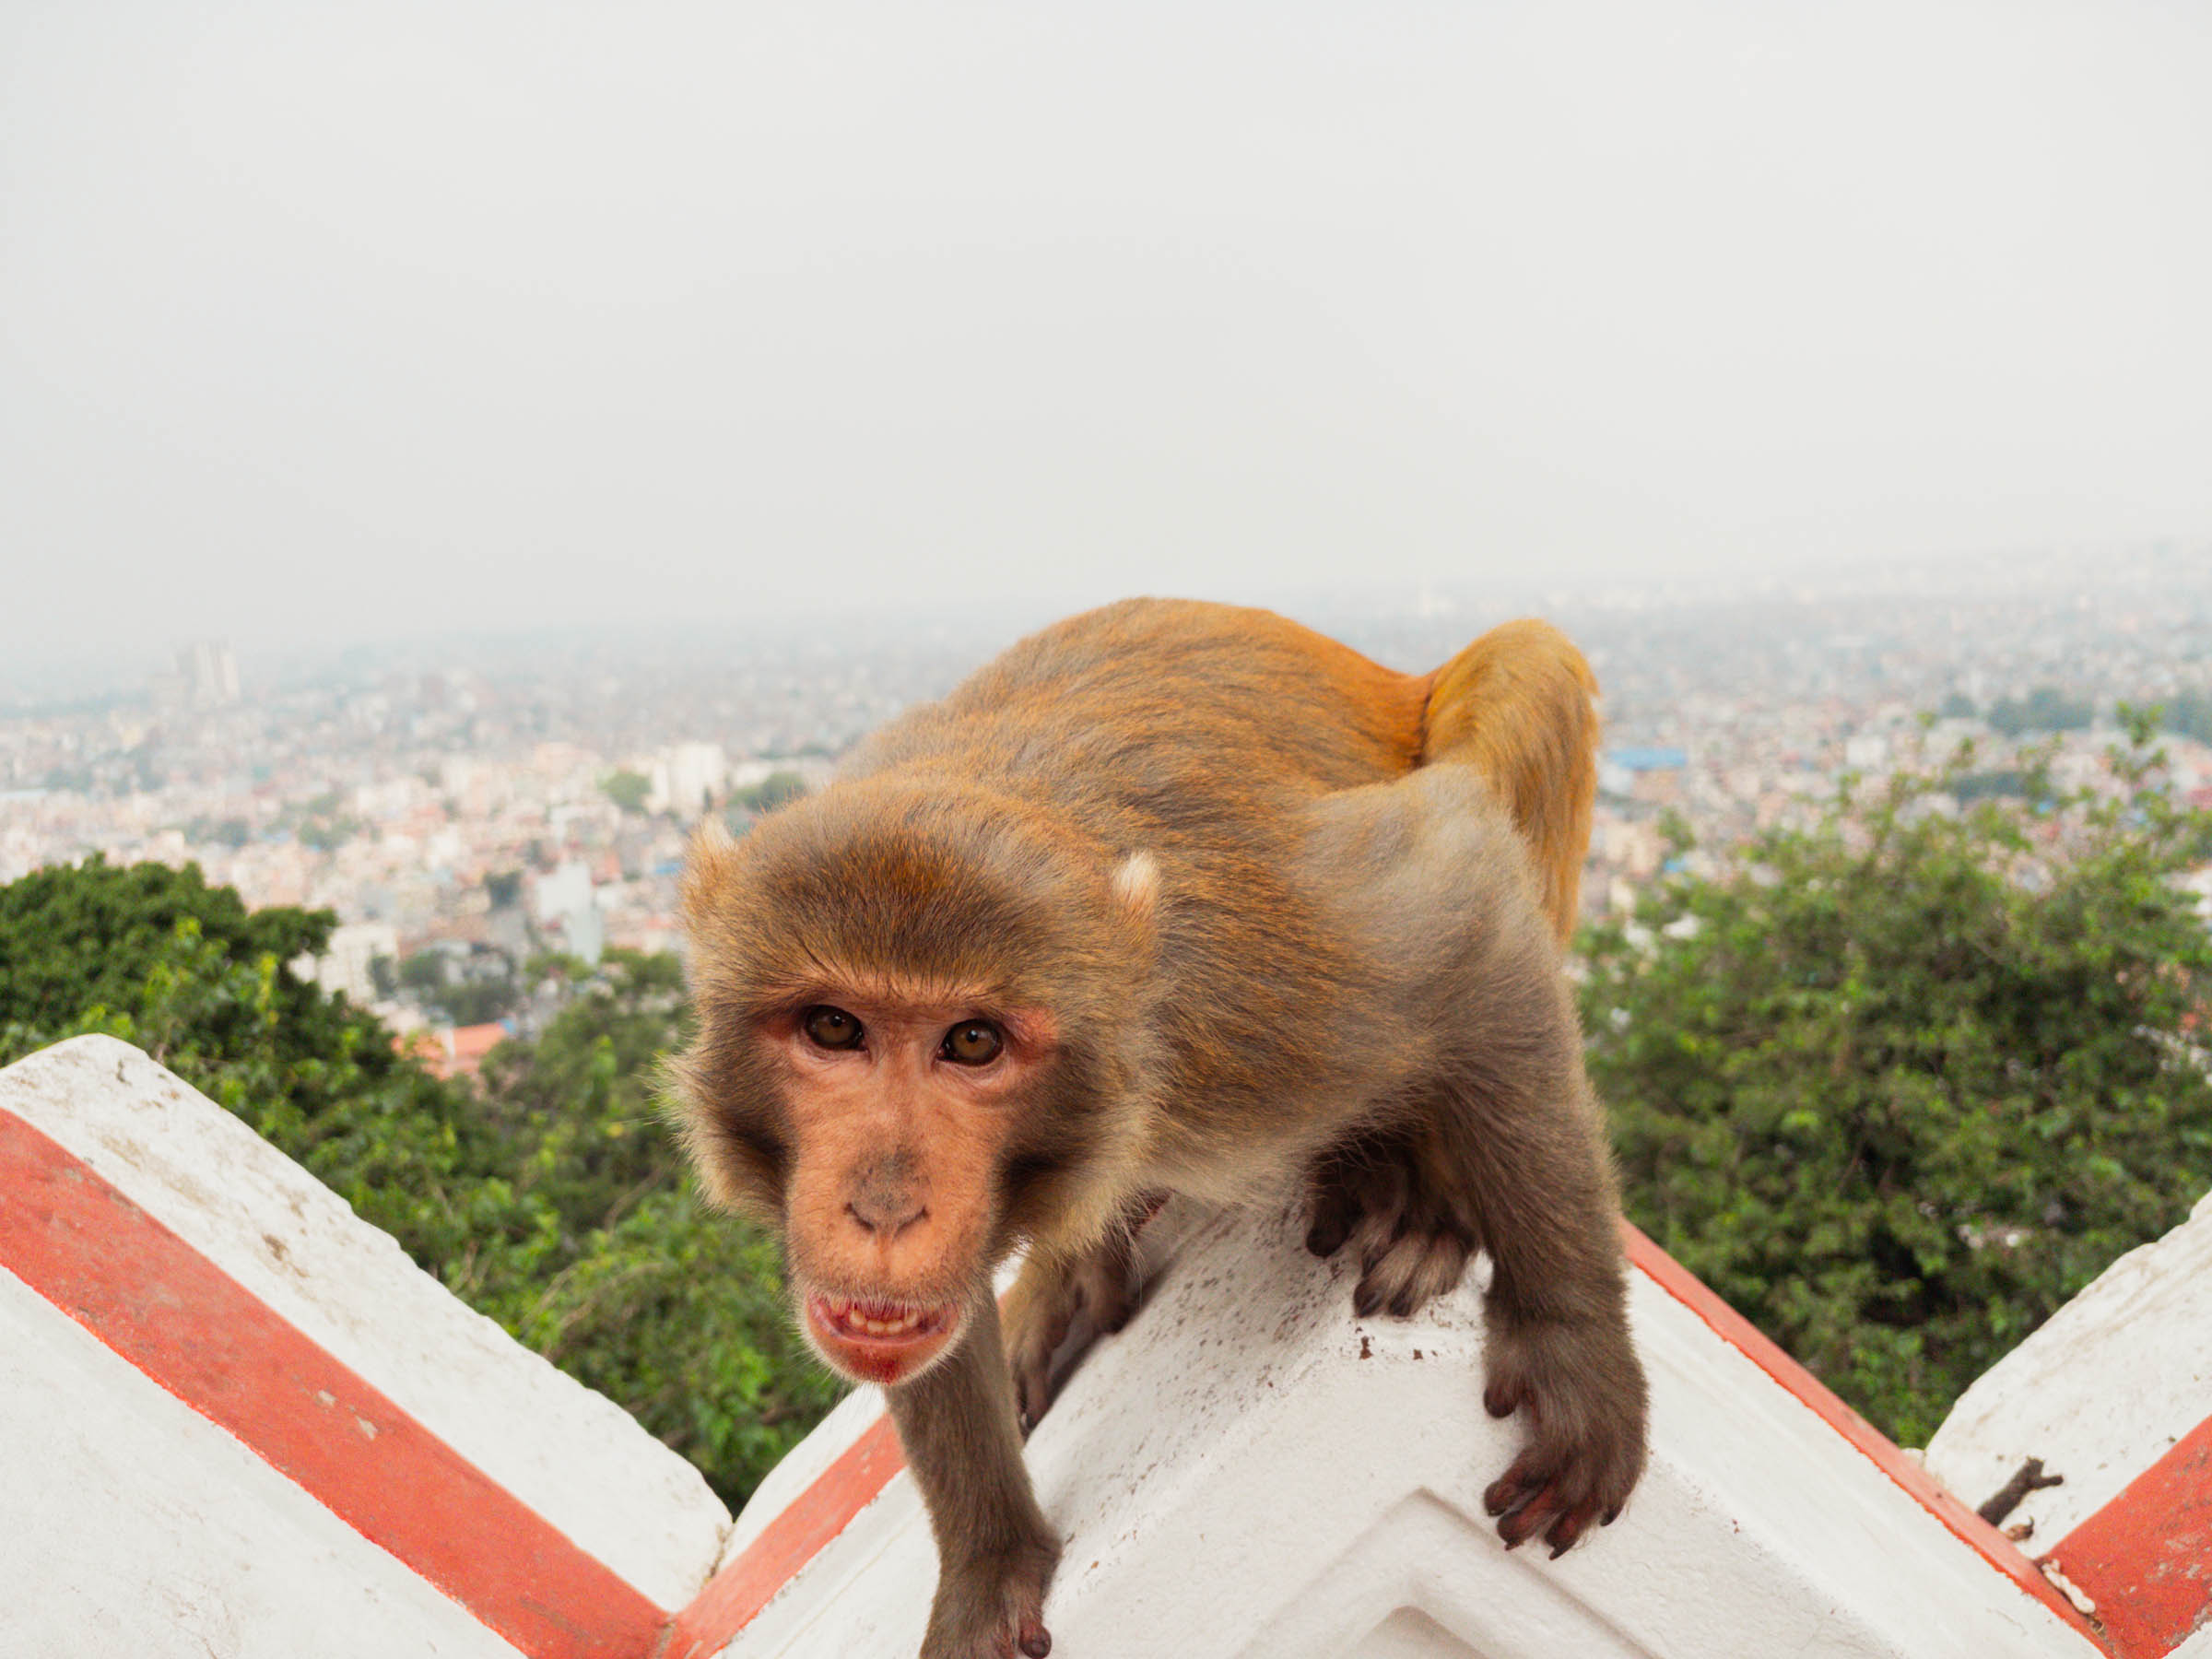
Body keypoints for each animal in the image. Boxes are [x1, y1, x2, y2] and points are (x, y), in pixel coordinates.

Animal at [672, 599, 1645, 1659]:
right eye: (833, 1029)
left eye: (972, 1042)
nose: (885, 1208)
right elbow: (922, 1324)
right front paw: (990, 1557)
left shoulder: (1255, 990)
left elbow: (1467, 893)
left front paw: (1569, 1342)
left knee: (1528, 663)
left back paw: (1418, 1191)